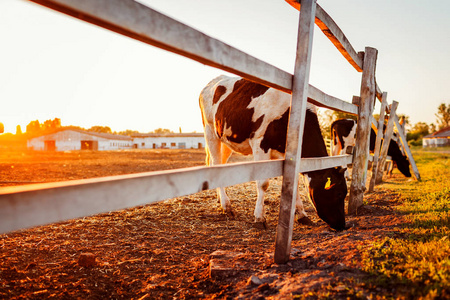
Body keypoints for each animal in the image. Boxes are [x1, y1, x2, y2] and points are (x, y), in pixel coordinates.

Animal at [198, 76, 348, 231]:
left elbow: (294, 183)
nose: (343, 225)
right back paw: (226, 205)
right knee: (216, 164)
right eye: (338, 193)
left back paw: (220, 198)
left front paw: (302, 215)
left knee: (219, 164)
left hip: (225, 139)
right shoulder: (259, 143)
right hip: (210, 131)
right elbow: (263, 183)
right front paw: (259, 218)